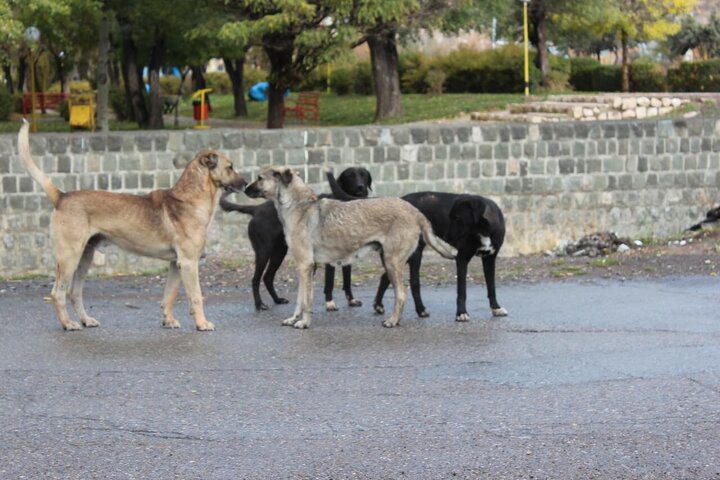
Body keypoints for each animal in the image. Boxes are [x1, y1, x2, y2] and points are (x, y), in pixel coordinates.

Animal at [17, 121, 248, 330]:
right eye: (230, 167)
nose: (246, 184)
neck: (189, 199)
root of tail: (61, 196)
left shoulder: (176, 264)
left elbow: (169, 295)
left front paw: (168, 320)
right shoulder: (189, 263)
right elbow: (196, 296)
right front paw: (202, 324)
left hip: (84, 258)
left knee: (74, 292)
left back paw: (85, 320)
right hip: (69, 258)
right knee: (58, 293)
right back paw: (68, 324)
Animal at [219, 167, 372, 310]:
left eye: (363, 175)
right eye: (350, 176)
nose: (361, 187)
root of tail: (256, 209)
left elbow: (347, 281)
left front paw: (351, 300)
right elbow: (329, 283)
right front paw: (330, 303)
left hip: (279, 252)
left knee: (268, 277)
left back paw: (277, 299)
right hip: (264, 252)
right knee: (255, 279)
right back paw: (259, 304)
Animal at [245, 166, 458, 330]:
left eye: (259, 178)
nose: (244, 188)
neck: (298, 205)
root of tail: (414, 210)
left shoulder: (306, 265)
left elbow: (307, 300)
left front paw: (304, 323)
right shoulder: (304, 266)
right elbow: (300, 299)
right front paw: (293, 319)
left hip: (392, 262)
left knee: (401, 295)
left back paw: (392, 321)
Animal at [326, 176, 506, 322]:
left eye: (458, 218)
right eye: (451, 217)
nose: (445, 236)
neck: (484, 230)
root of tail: (401, 199)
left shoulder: (490, 258)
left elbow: (491, 286)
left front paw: (496, 308)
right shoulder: (462, 258)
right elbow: (462, 291)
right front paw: (461, 313)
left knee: (386, 276)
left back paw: (379, 304)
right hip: (413, 253)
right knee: (413, 282)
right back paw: (420, 310)